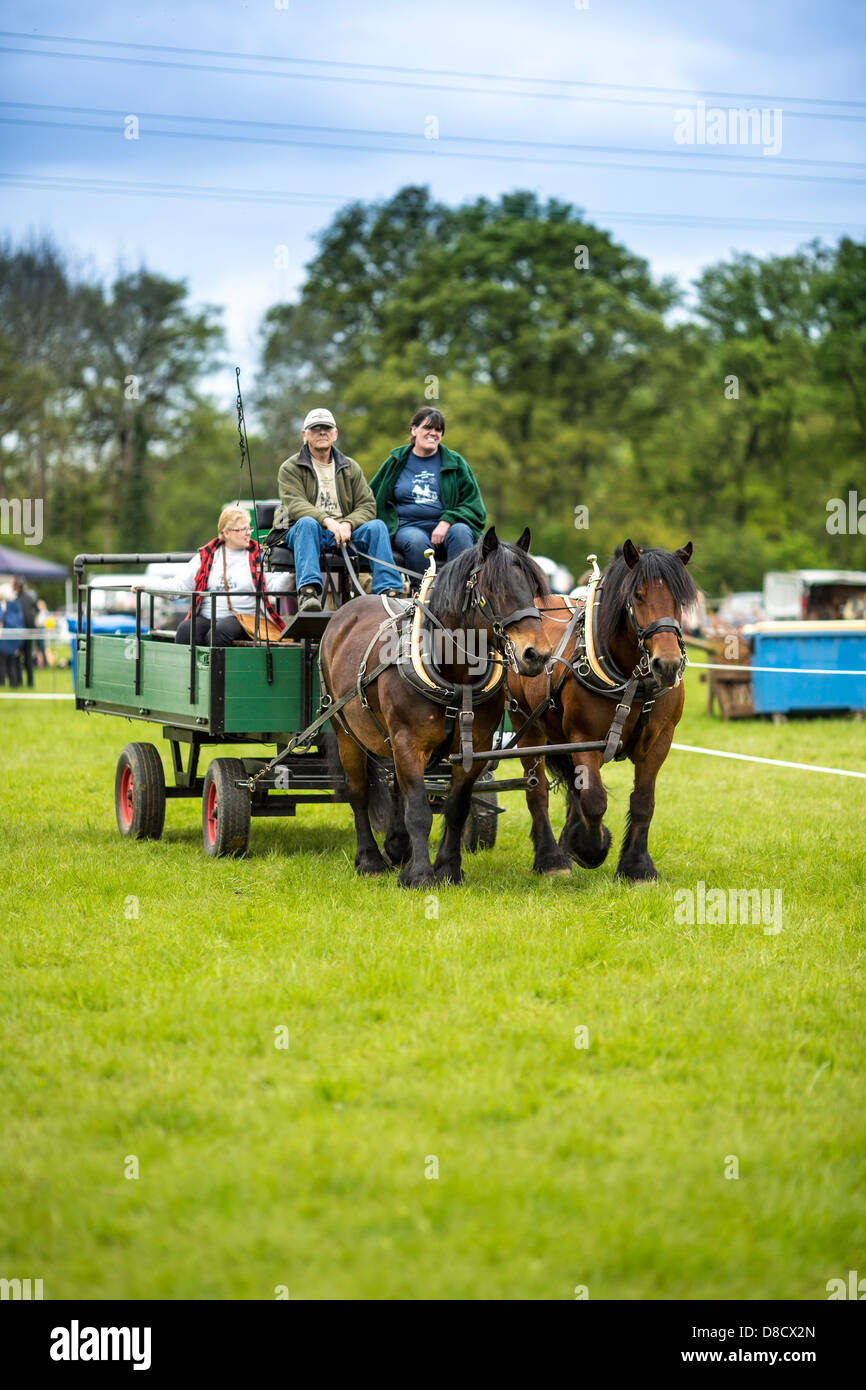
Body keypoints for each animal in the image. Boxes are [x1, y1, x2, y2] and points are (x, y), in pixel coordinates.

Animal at [322, 525, 553, 884]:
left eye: (533, 589)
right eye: (493, 588)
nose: (537, 654)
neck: (452, 673)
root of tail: (345, 610)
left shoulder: (475, 747)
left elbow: (455, 807)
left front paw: (447, 867)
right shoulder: (408, 742)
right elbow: (418, 810)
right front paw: (419, 874)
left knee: (395, 787)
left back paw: (397, 846)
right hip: (346, 731)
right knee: (358, 790)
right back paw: (370, 859)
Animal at [508, 539, 697, 878]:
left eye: (680, 599)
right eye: (638, 595)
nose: (668, 664)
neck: (632, 681)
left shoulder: (660, 740)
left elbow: (643, 801)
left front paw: (637, 866)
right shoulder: (584, 738)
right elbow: (594, 799)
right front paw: (591, 848)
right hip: (525, 726)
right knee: (537, 791)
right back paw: (551, 858)